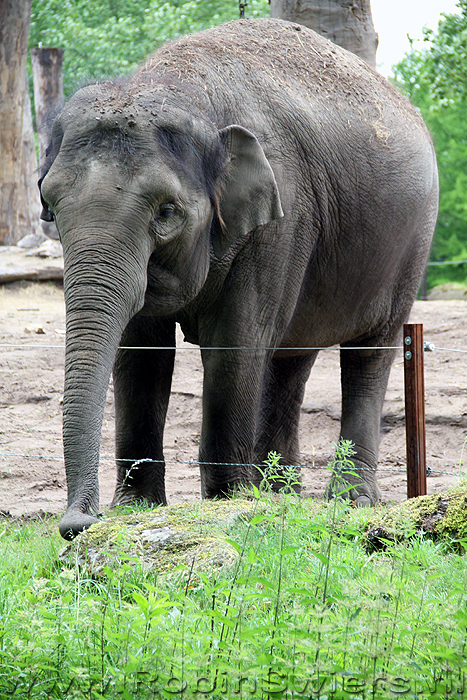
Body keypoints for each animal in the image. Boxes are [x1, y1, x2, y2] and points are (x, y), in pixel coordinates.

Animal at [38, 18, 438, 540]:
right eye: (48, 203)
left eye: (167, 212)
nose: (77, 523)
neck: (182, 89)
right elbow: (141, 352)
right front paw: (136, 510)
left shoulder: (281, 216)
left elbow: (236, 343)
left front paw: (227, 505)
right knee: (291, 359)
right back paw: (280, 494)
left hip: (411, 243)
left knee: (370, 353)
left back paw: (349, 502)